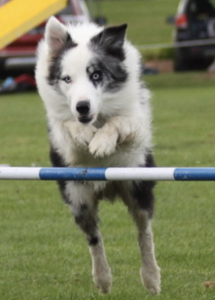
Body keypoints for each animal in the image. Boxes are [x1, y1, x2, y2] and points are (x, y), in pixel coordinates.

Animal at [35, 15, 160, 292]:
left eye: (96, 75)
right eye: (66, 79)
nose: (82, 107)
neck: (96, 116)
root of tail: (109, 189)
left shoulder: (134, 124)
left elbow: (117, 122)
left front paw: (101, 142)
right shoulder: (63, 141)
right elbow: (69, 126)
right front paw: (85, 135)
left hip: (137, 186)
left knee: (144, 231)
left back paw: (151, 278)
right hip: (78, 198)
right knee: (94, 238)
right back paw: (103, 279)